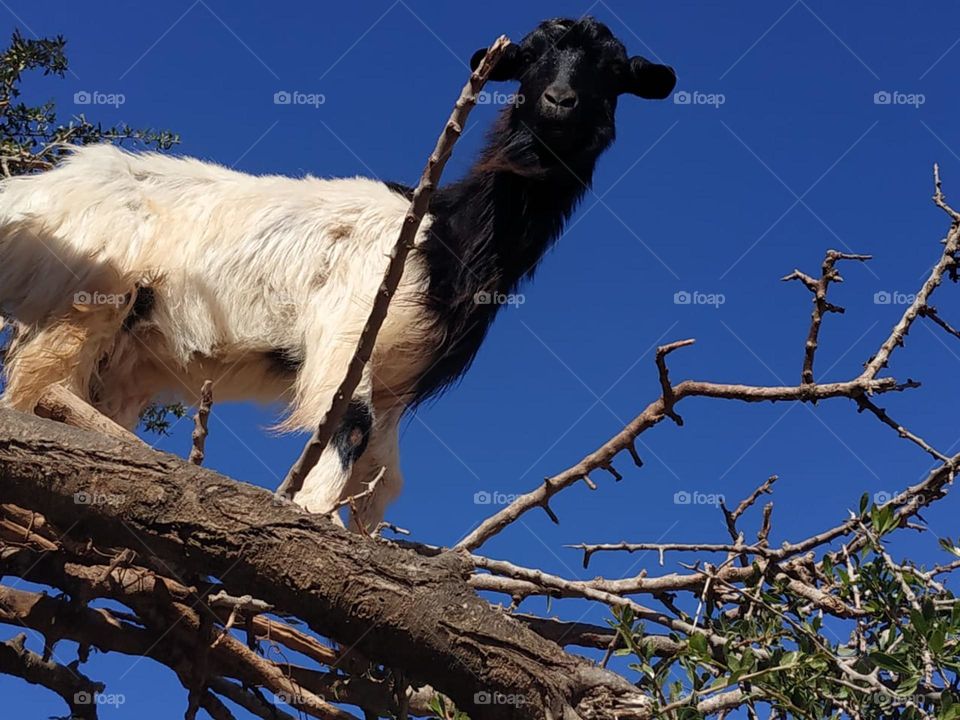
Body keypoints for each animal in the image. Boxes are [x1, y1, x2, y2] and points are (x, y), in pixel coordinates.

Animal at [0, 17, 676, 530]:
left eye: (614, 70)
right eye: (530, 57)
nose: (559, 103)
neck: (443, 236)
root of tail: (42, 191)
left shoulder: (399, 380)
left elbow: (382, 483)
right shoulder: (348, 333)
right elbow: (347, 430)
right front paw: (306, 523)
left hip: (125, 362)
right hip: (80, 306)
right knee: (28, 398)